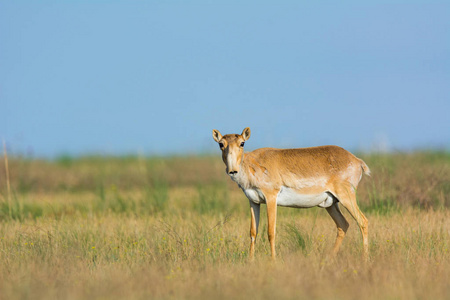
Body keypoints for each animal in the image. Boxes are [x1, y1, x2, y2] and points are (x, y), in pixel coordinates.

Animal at [213, 126, 370, 260]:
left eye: (242, 143)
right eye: (221, 144)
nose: (232, 170)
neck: (252, 163)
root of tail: (357, 160)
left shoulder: (271, 198)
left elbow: (271, 232)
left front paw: (273, 261)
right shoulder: (254, 202)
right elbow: (253, 232)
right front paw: (250, 261)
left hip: (346, 198)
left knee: (363, 221)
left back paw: (365, 259)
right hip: (330, 204)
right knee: (343, 224)